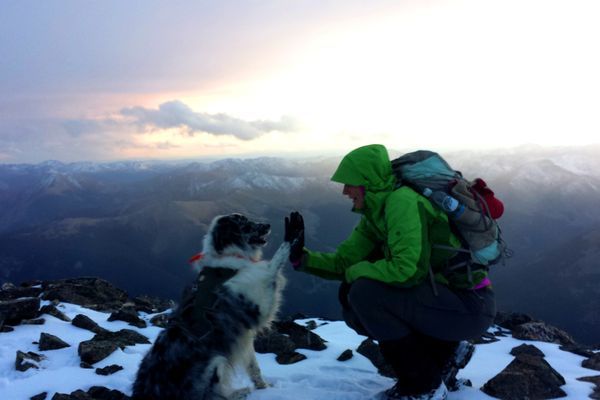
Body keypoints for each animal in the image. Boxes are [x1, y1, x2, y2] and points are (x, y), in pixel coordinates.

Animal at [132, 214, 290, 398]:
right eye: (244, 223)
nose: (268, 225)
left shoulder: (244, 335)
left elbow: (254, 367)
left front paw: (264, 387)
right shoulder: (256, 305)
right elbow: (273, 266)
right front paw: (291, 240)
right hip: (216, 359)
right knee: (212, 395)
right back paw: (240, 392)